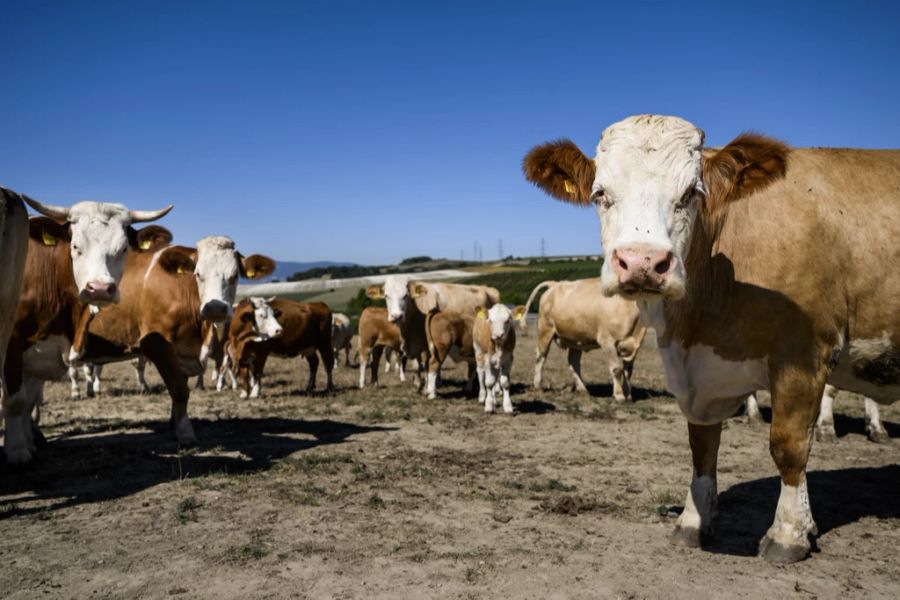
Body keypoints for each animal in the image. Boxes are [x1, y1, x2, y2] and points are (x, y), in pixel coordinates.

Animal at [3, 199, 172, 462]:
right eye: (75, 246)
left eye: (124, 248)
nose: (99, 289)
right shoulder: (13, 344)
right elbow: (15, 402)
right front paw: (18, 451)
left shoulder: (36, 356)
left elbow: (29, 402)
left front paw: (29, 442)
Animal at [520, 278, 648, 400]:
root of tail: (555, 284)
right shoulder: (607, 341)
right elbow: (617, 369)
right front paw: (619, 395)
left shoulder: (636, 344)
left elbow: (628, 371)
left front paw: (628, 395)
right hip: (545, 329)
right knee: (541, 357)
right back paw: (538, 385)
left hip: (575, 339)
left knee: (573, 361)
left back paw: (582, 389)